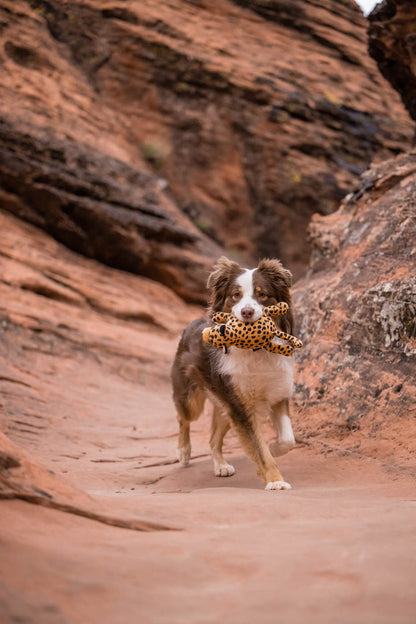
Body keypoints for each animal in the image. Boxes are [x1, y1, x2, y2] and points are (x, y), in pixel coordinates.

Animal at [171, 256, 296, 490]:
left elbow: (288, 440)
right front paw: (275, 481)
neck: (255, 349)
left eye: (262, 294)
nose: (246, 312)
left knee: (213, 439)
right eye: (236, 295)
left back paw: (220, 465)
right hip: (193, 398)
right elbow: (259, 448)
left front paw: (275, 448)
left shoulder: (277, 391)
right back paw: (183, 451)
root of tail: (193, 322)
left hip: (224, 404)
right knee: (184, 419)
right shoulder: (240, 405)